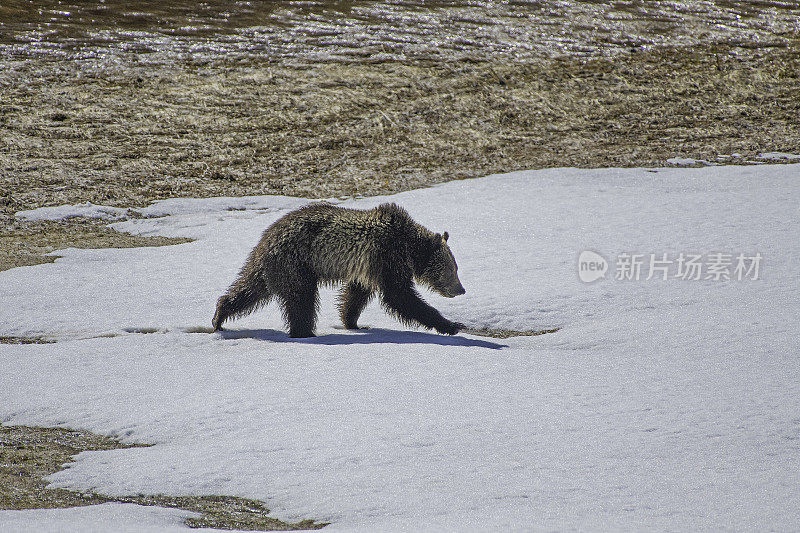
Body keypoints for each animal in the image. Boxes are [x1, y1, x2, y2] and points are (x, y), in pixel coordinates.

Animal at [212, 202, 466, 334]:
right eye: (452, 269)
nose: (461, 289)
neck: (409, 247)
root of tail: (266, 238)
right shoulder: (387, 256)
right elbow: (401, 296)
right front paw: (451, 324)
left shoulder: (367, 267)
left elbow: (355, 294)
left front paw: (352, 322)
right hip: (296, 263)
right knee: (302, 300)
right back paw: (304, 332)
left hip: (271, 268)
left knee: (249, 289)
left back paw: (219, 316)